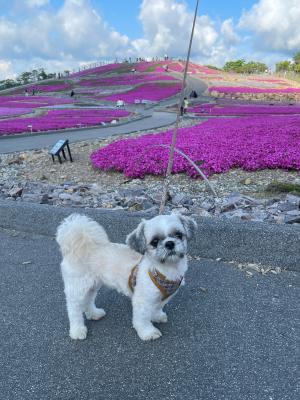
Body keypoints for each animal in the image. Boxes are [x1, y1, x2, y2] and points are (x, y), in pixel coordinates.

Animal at [56, 212, 197, 340]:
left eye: (178, 235)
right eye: (155, 241)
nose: (169, 243)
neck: (166, 270)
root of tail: (81, 243)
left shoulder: (163, 297)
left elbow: (157, 307)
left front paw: (157, 316)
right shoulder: (142, 300)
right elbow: (142, 318)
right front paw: (148, 332)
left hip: (93, 284)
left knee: (88, 299)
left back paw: (94, 313)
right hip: (78, 286)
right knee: (74, 307)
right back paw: (77, 330)